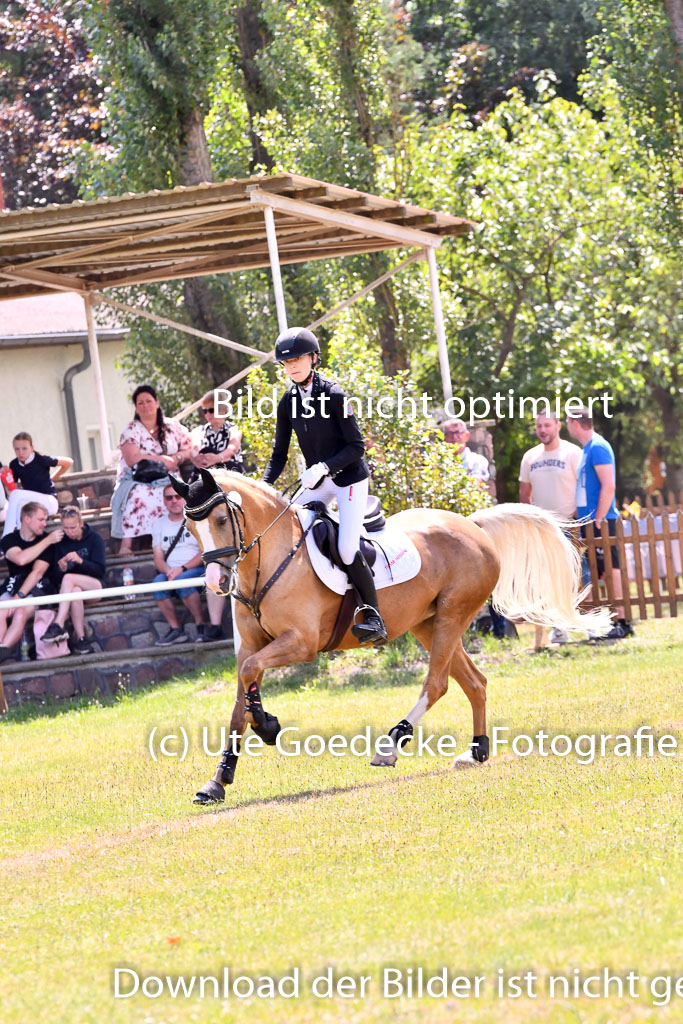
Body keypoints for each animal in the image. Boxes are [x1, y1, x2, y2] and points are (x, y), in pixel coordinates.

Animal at [174, 468, 610, 802]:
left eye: (219, 520)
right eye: (191, 528)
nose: (215, 582)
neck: (273, 557)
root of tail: (472, 525)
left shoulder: (300, 643)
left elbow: (249, 675)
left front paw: (267, 724)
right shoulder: (252, 645)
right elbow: (240, 698)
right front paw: (218, 779)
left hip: (452, 615)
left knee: (437, 684)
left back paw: (390, 745)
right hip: (427, 624)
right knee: (474, 682)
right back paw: (476, 753)